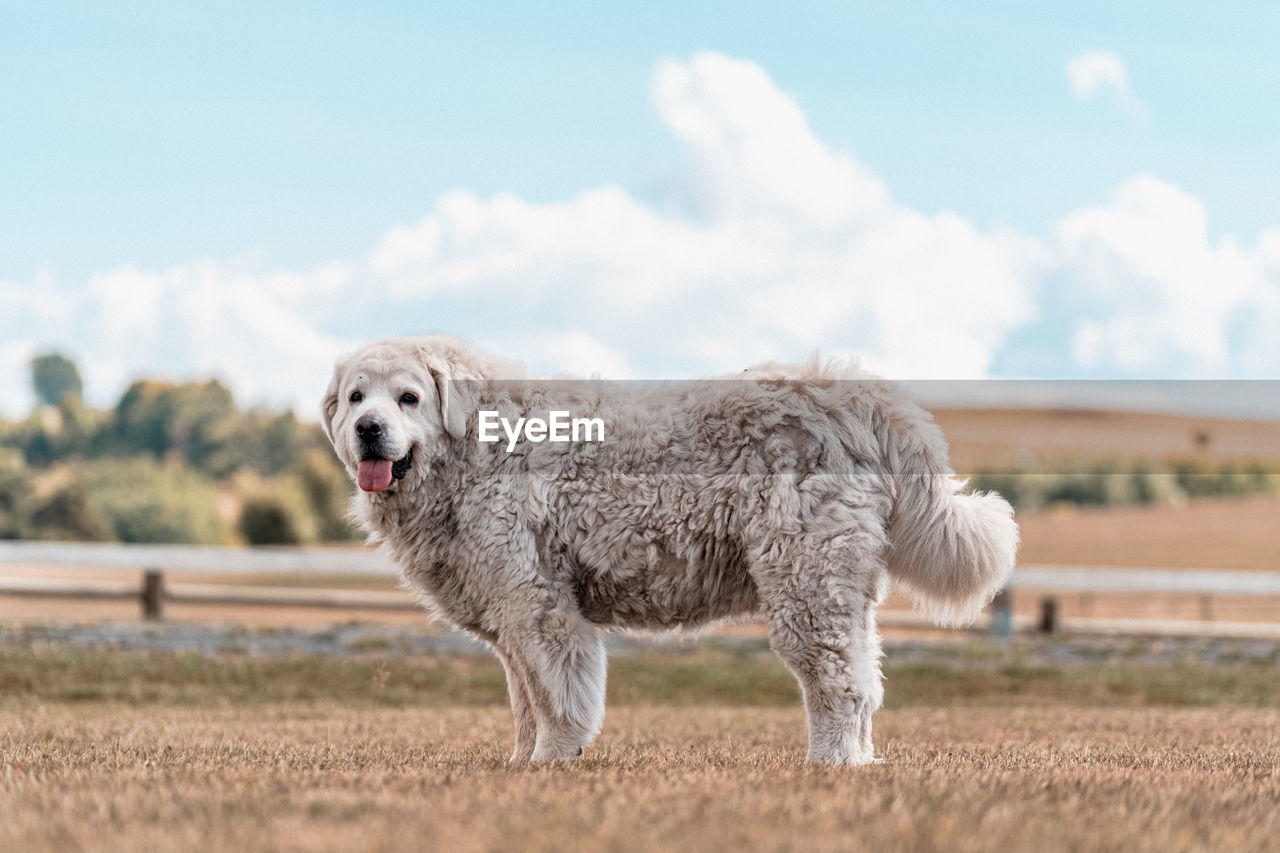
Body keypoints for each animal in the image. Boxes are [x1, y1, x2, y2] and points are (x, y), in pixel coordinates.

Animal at [322, 333, 1018, 763]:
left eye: (409, 397)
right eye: (356, 397)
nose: (368, 428)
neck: (475, 445)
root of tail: (861, 396)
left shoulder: (539, 607)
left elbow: (557, 699)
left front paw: (551, 763)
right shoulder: (510, 613)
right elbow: (525, 701)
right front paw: (521, 763)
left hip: (804, 585)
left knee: (838, 685)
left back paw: (828, 766)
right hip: (840, 588)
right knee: (864, 681)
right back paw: (860, 761)